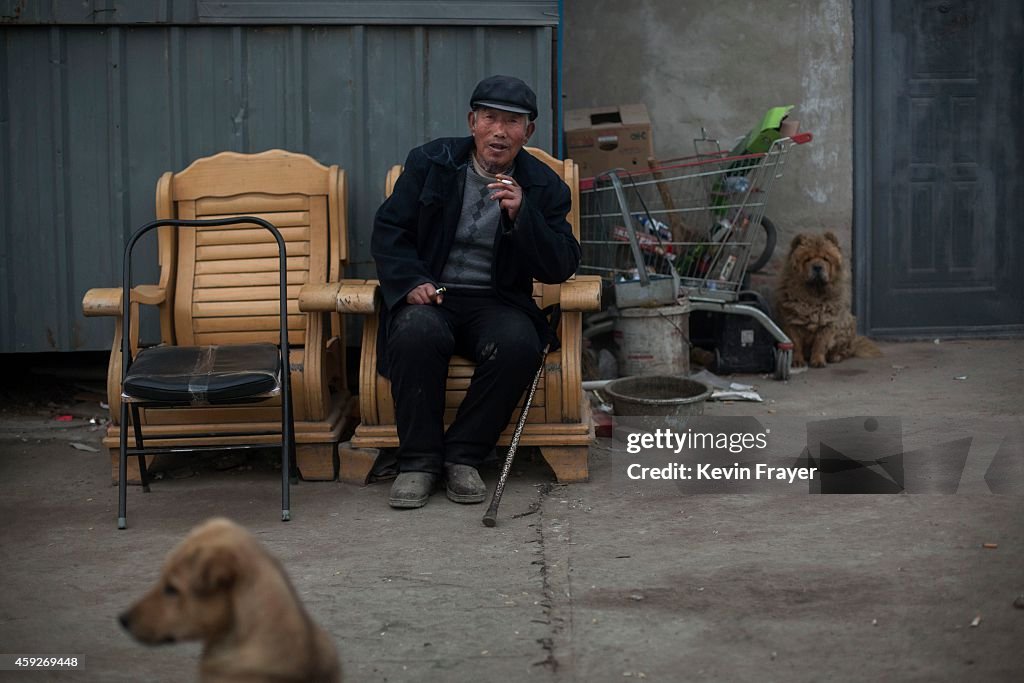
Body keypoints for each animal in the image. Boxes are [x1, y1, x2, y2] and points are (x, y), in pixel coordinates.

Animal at [774, 231, 880, 368]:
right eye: (807, 259)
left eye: (825, 259)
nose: (817, 266)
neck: (814, 296)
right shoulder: (792, 322)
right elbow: (795, 344)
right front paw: (796, 361)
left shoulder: (828, 323)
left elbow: (820, 344)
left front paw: (818, 361)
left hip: (847, 325)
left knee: (846, 350)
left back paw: (835, 357)